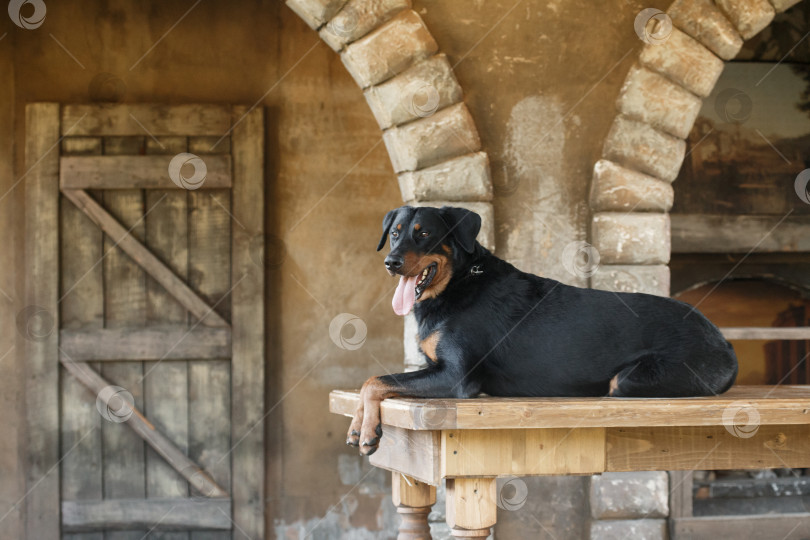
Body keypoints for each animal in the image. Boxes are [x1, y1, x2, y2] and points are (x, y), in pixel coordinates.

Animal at [344, 205, 736, 454]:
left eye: (424, 234)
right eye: (394, 234)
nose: (391, 262)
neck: (459, 281)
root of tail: (724, 341)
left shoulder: (456, 377)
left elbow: (374, 381)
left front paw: (367, 432)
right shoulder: (432, 367)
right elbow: (373, 382)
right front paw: (359, 426)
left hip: (629, 379)